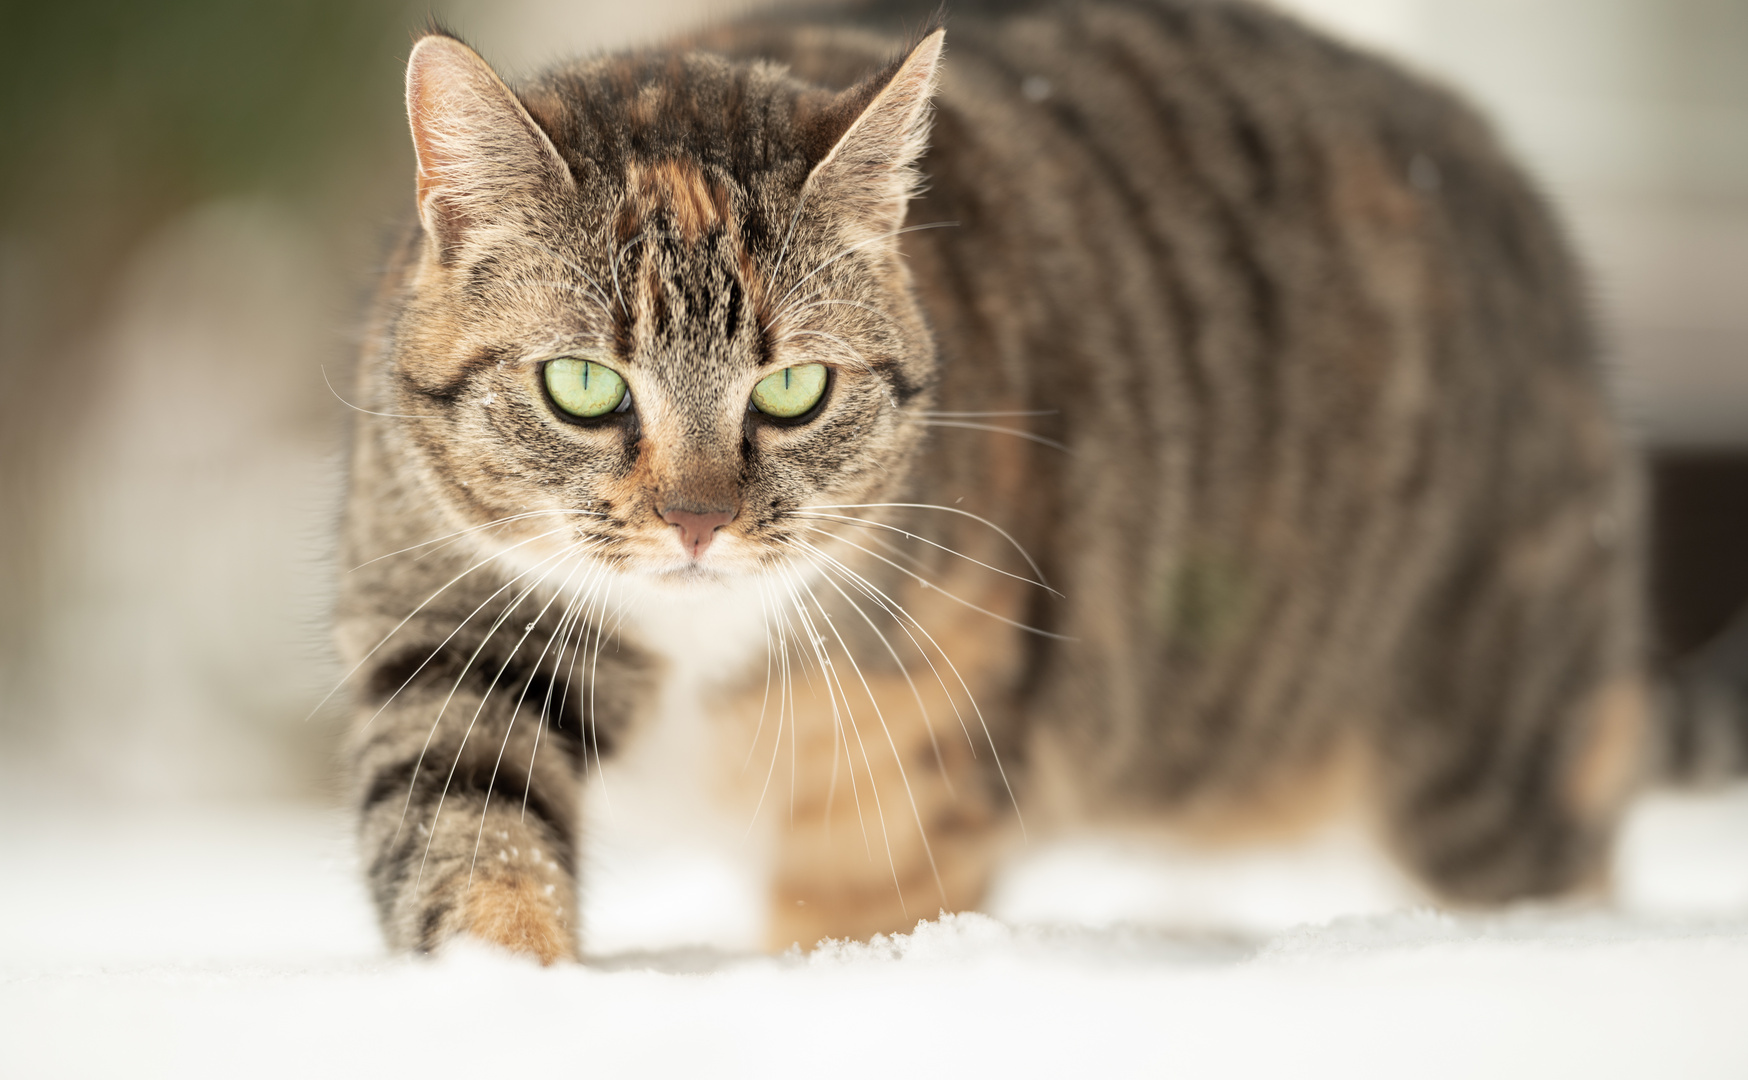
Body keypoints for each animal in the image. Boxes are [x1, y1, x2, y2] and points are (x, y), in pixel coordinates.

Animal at [337, 0, 1650, 957]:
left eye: (792, 390)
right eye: (582, 387)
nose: (696, 522)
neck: (695, 642)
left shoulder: (899, 757)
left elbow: (852, 918)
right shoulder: (448, 616)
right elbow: (467, 824)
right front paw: (515, 986)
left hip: (1482, 732)